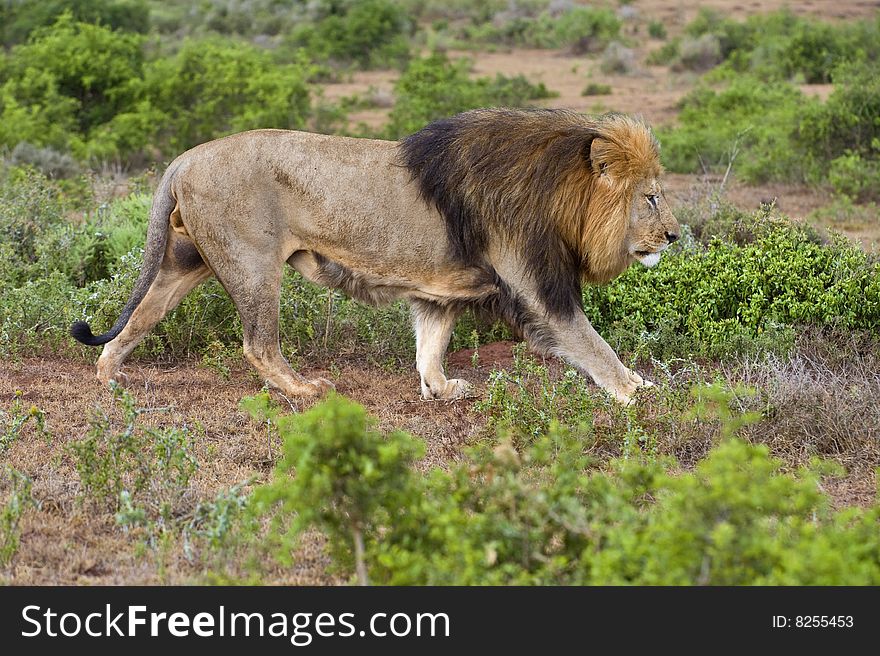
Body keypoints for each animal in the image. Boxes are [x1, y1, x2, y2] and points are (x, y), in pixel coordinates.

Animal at [74, 107, 680, 402]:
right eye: (651, 198)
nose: (676, 237)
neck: (563, 198)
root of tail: (184, 157)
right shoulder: (537, 284)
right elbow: (592, 343)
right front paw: (639, 391)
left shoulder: (440, 290)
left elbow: (431, 345)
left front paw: (440, 389)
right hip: (253, 264)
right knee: (257, 345)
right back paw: (305, 389)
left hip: (185, 261)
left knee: (141, 316)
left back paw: (109, 376)